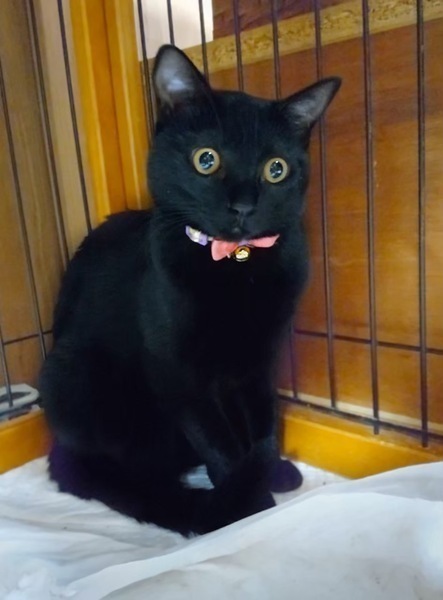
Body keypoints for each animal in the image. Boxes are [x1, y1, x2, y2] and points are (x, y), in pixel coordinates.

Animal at [39, 45, 340, 536]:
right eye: (206, 160)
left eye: (276, 169)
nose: (243, 206)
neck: (237, 266)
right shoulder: (178, 372)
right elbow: (217, 440)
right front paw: (247, 503)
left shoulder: (259, 358)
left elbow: (263, 423)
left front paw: (270, 467)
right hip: (74, 376)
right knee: (107, 471)